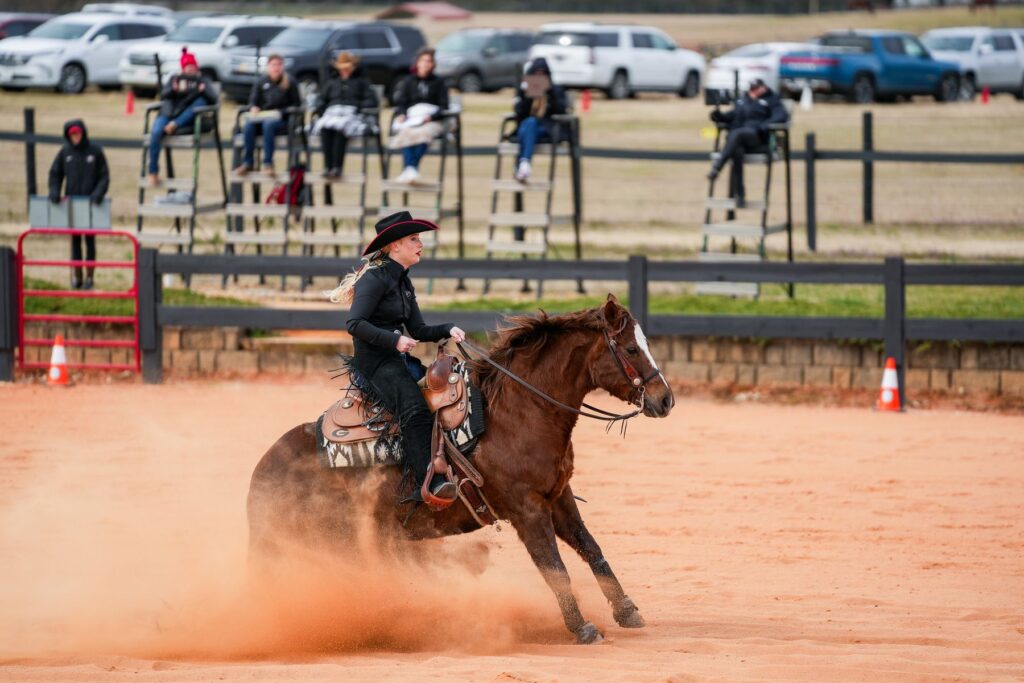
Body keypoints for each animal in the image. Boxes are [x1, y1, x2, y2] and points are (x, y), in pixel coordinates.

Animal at [246, 296, 675, 643]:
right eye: (632, 348)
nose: (665, 399)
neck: (518, 412)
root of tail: (262, 473)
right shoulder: (526, 509)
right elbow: (554, 567)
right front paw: (582, 627)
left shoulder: (558, 496)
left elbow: (591, 548)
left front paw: (626, 610)